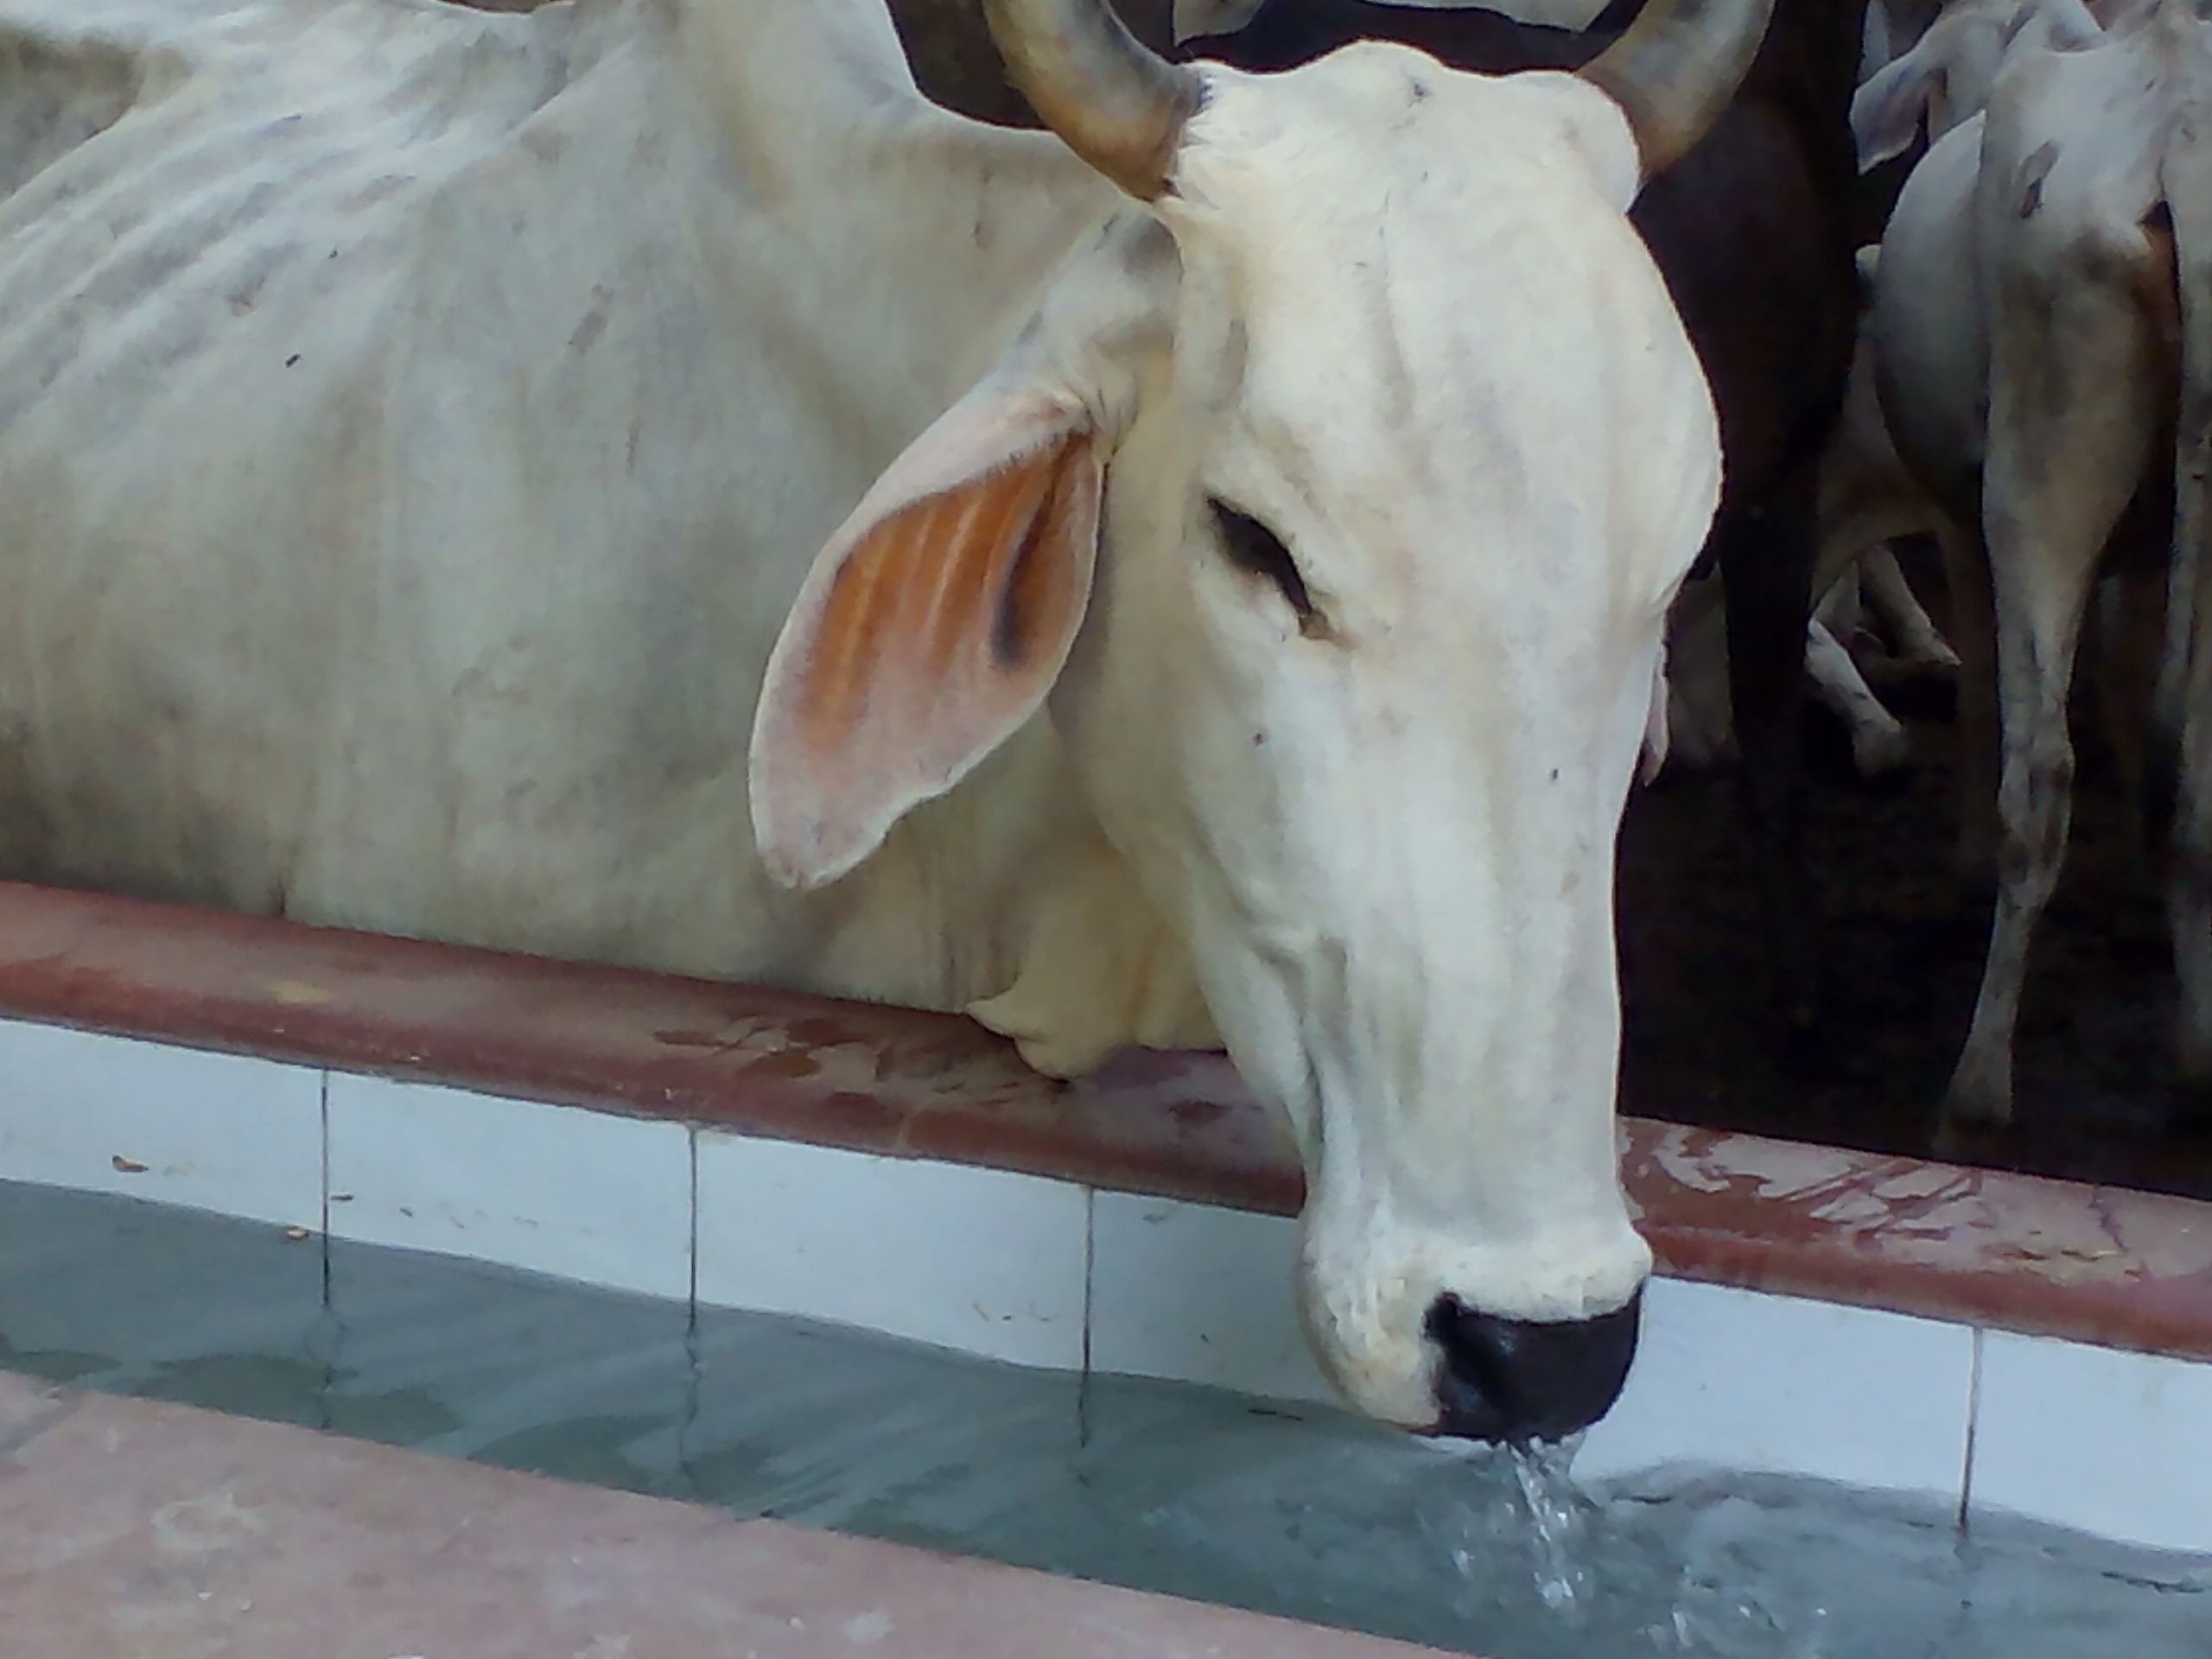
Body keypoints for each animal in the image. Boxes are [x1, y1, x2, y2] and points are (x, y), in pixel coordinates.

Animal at [1863, 0, 2212, 1136]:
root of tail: (2177, 116)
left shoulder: (1954, 512)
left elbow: (1979, 688)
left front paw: (1966, 866)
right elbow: (2130, 691)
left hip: (2030, 489)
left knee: (2042, 774)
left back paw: (1977, 1087)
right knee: (2194, 778)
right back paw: (2197, 1054)